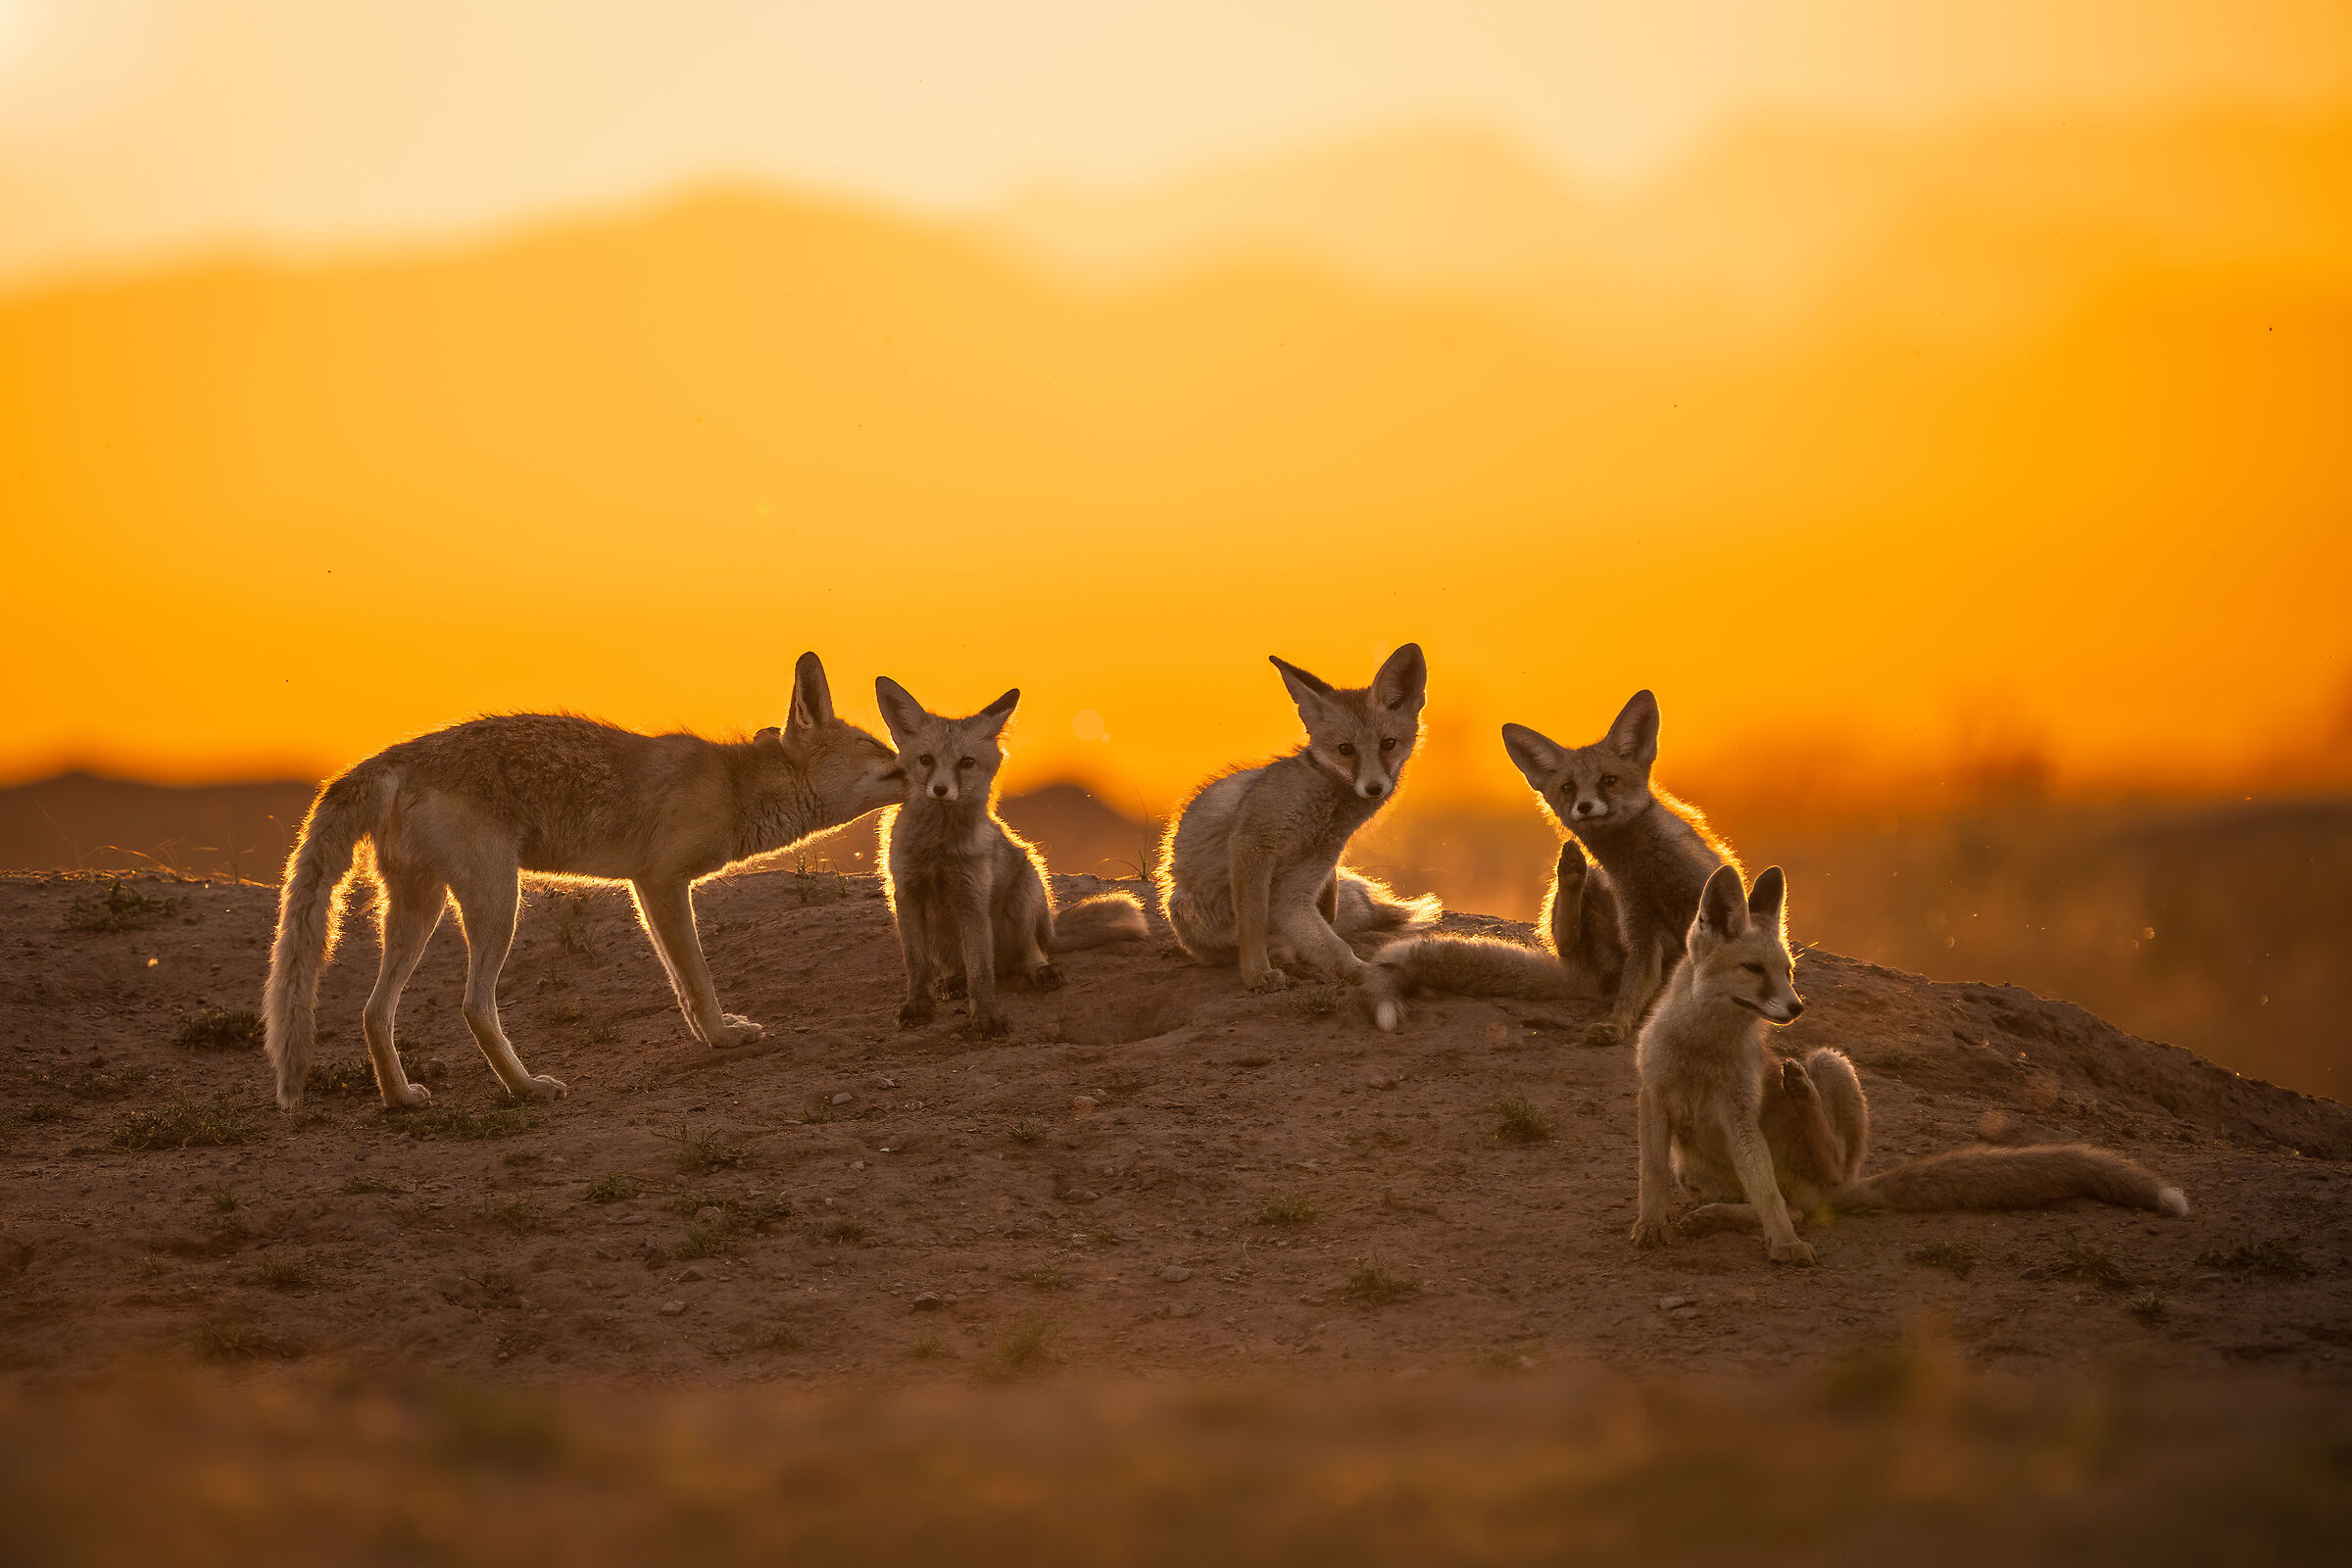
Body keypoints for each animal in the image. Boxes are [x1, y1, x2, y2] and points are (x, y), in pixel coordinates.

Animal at [261, 654, 905, 1111]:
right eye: (879, 748)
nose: (924, 763)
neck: (734, 786)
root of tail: (395, 756)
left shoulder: (646, 889)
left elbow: (680, 984)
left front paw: (708, 1035)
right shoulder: (663, 881)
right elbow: (697, 978)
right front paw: (722, 1037)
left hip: (421, 907)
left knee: (374, 1011)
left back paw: (400, 1099)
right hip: (498, 901)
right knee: (473, 1005)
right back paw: (525, 1090)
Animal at [873, 678, 1146, 1037]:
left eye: (967, 763)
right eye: (926, 760)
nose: (941, 790)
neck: (938, 849)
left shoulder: (972, 898)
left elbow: (980, 970)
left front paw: (986, 1015)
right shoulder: (907, 894)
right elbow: (917, 964)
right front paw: (918, 1007)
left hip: (1027, 893)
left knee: (1029, 953)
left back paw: (1041, 971)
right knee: (956, 965)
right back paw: (952, 981)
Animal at [1156, 644, 1439, 992]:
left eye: (1388, 744)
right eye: (1345, 749)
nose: (1374, 788)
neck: (1320, 813)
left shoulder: (1299, 884)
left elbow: (1333, 947)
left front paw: (1365, 973)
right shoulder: (1252, 845)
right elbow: (1252, 922)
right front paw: (1256, 975)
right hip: (1190, 912)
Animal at [1631, 863, 2189, 1267]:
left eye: (1787, 971)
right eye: (1753, 970)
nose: (1797, 1008)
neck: (1700, 1050)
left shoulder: (1740, 1111)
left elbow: (1766, 1194)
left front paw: (1783, 1246)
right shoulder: (1653, 1096)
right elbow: (1651, 1175)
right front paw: (1652, 1225)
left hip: (1832, 1065)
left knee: (1816, 1180)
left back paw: (1801, 1098)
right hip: (1696, 1172)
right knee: (1793, 1205)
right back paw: (1710, 1216)